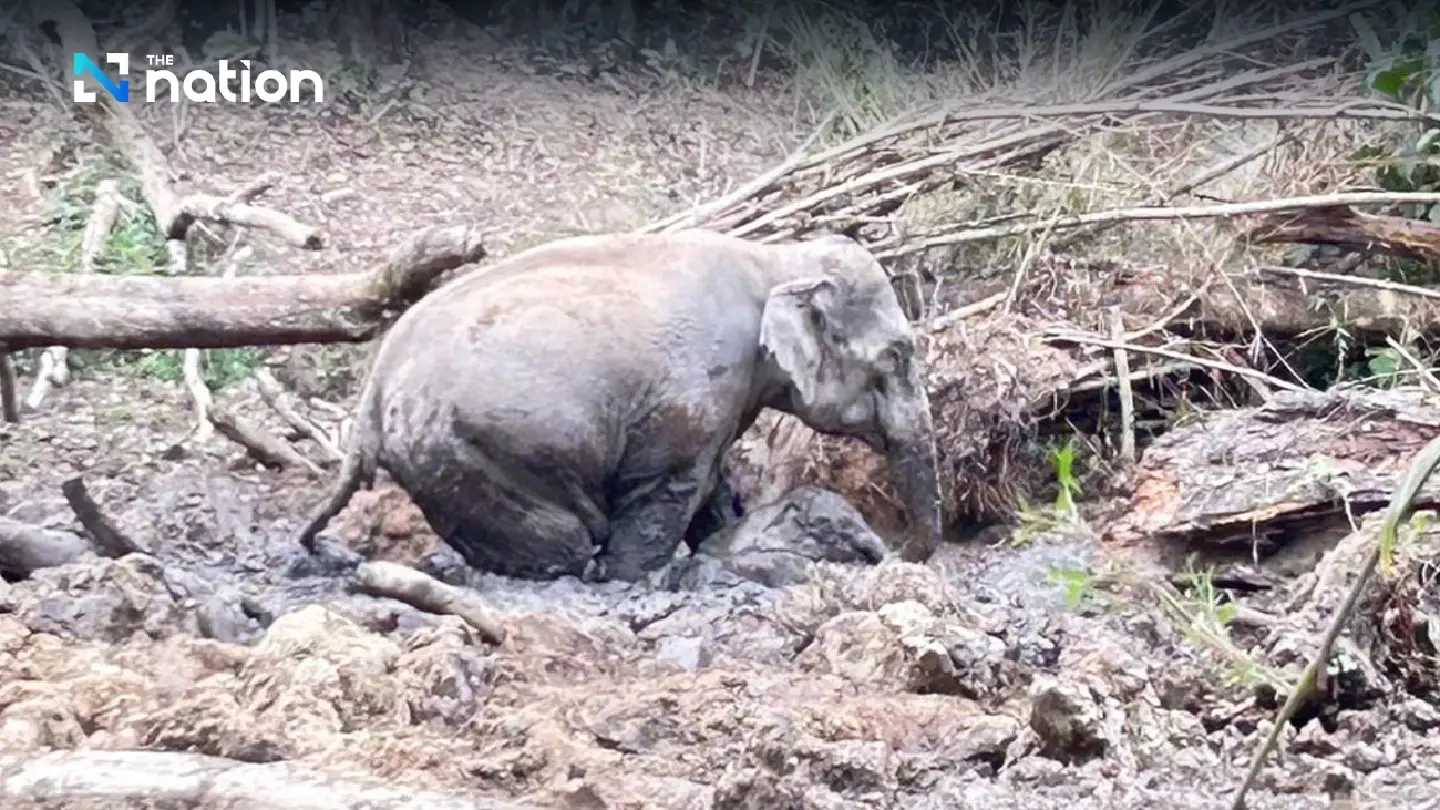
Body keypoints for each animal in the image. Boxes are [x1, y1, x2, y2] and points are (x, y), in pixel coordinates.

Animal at [293, 229, 943, 582]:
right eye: (896, 356)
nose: (891, 552)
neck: (773, 260)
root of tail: (371, 395)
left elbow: (713, 483)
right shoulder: (693, 397)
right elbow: (671, 487)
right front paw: (638, 575)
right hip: (470, 452)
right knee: (562, 544)